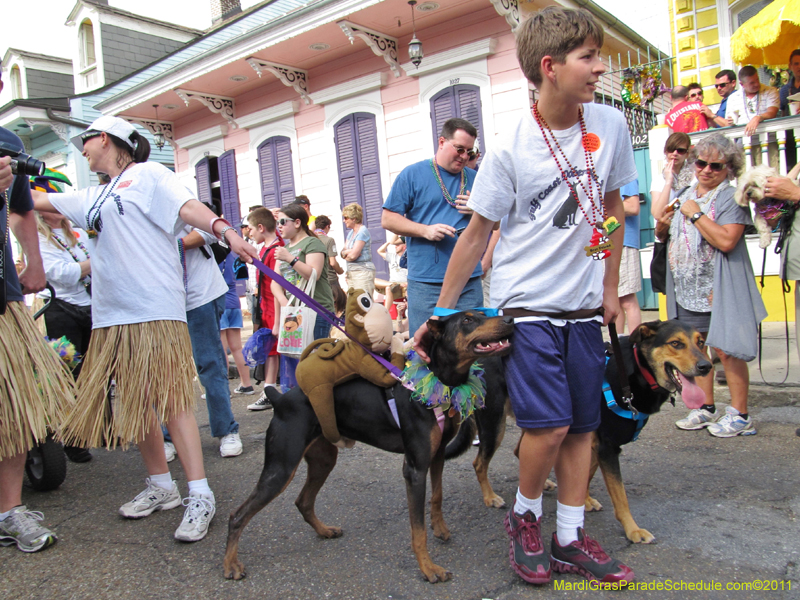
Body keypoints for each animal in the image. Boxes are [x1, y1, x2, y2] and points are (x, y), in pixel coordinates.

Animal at [222, 312, 516, 584]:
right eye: (467, 319)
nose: (511, 320)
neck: (438, 381)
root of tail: (281, 399)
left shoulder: (438, 455)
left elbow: (438, 496)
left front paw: (440, 529)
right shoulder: (415, 468)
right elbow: (417, 530)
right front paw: (429, 568)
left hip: (323, 459)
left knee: (303, 501)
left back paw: (325, 531)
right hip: (281, 466)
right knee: (237, 515)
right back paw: (231, 565)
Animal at [444, 322, 712, 548]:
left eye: (700, 342)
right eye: (676, 343)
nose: (706, 366)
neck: (635, 373)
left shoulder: (593, 441)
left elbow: (586, 475)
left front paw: (585, 499)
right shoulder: (607, 447)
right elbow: (620, 496)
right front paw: (633, 530)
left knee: (520, 450)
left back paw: (544, 482)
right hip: (495, 425)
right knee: (479, 462)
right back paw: (490, 497)